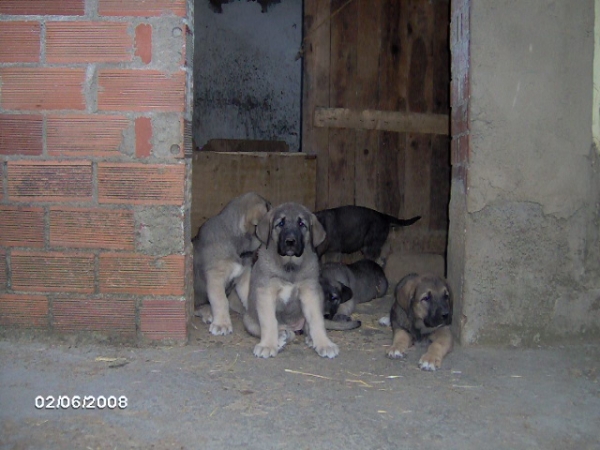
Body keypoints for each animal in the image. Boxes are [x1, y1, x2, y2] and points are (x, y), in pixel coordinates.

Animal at [243, 201, 338, 358]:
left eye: (301, 223)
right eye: (281, 223)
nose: (290, 242)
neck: (289, 266)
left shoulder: (310, 292)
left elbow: (317, 321)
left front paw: (324, 343)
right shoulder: (266, 292)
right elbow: (269, 322)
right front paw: (268, 345)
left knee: (307, 327)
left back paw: (309, 339)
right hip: (249, 319)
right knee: (278, 329)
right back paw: (281, 337)